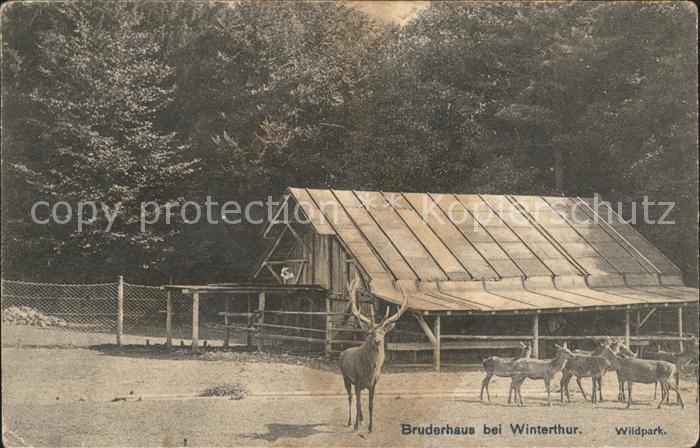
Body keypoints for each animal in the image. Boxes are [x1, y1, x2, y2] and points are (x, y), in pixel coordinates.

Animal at [339, 277, 408, 432]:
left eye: (382, 332)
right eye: (370, 333)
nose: (377, 341)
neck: (370, 371)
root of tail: (342, 352)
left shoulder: (373, 384)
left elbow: (370, 405)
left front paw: (371, 427)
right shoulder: (357, 380)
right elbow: (358, 403)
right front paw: (356, 427)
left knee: (356, 399)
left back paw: (361, 420)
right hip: (345, 377)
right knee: (350, 397)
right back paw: (350, 421)